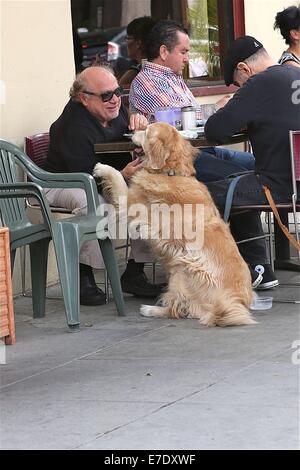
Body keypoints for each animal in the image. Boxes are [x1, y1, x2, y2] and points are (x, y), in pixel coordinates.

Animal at [94, 122, 255, 326]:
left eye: (146, 131)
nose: (131, 131)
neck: (170, 172)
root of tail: (232, 304)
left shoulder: (131, 203)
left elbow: (117, 177)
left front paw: (102, 167)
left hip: (182, 269)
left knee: (178, 309)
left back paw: (150, 310)